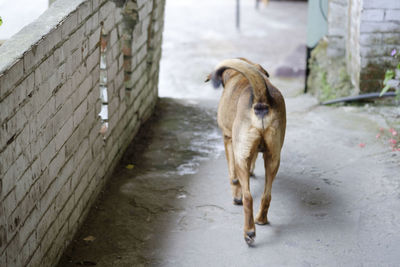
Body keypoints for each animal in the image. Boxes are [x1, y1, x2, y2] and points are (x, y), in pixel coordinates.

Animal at [206, 59, 284, 247]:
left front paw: (236, 196)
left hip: (241, 157)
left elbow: (233, 177)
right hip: (273, 158)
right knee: (266, 195)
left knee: (248, 197)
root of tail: (261, 98)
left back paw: (249, 232)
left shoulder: (228, 139)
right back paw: (261, 219)